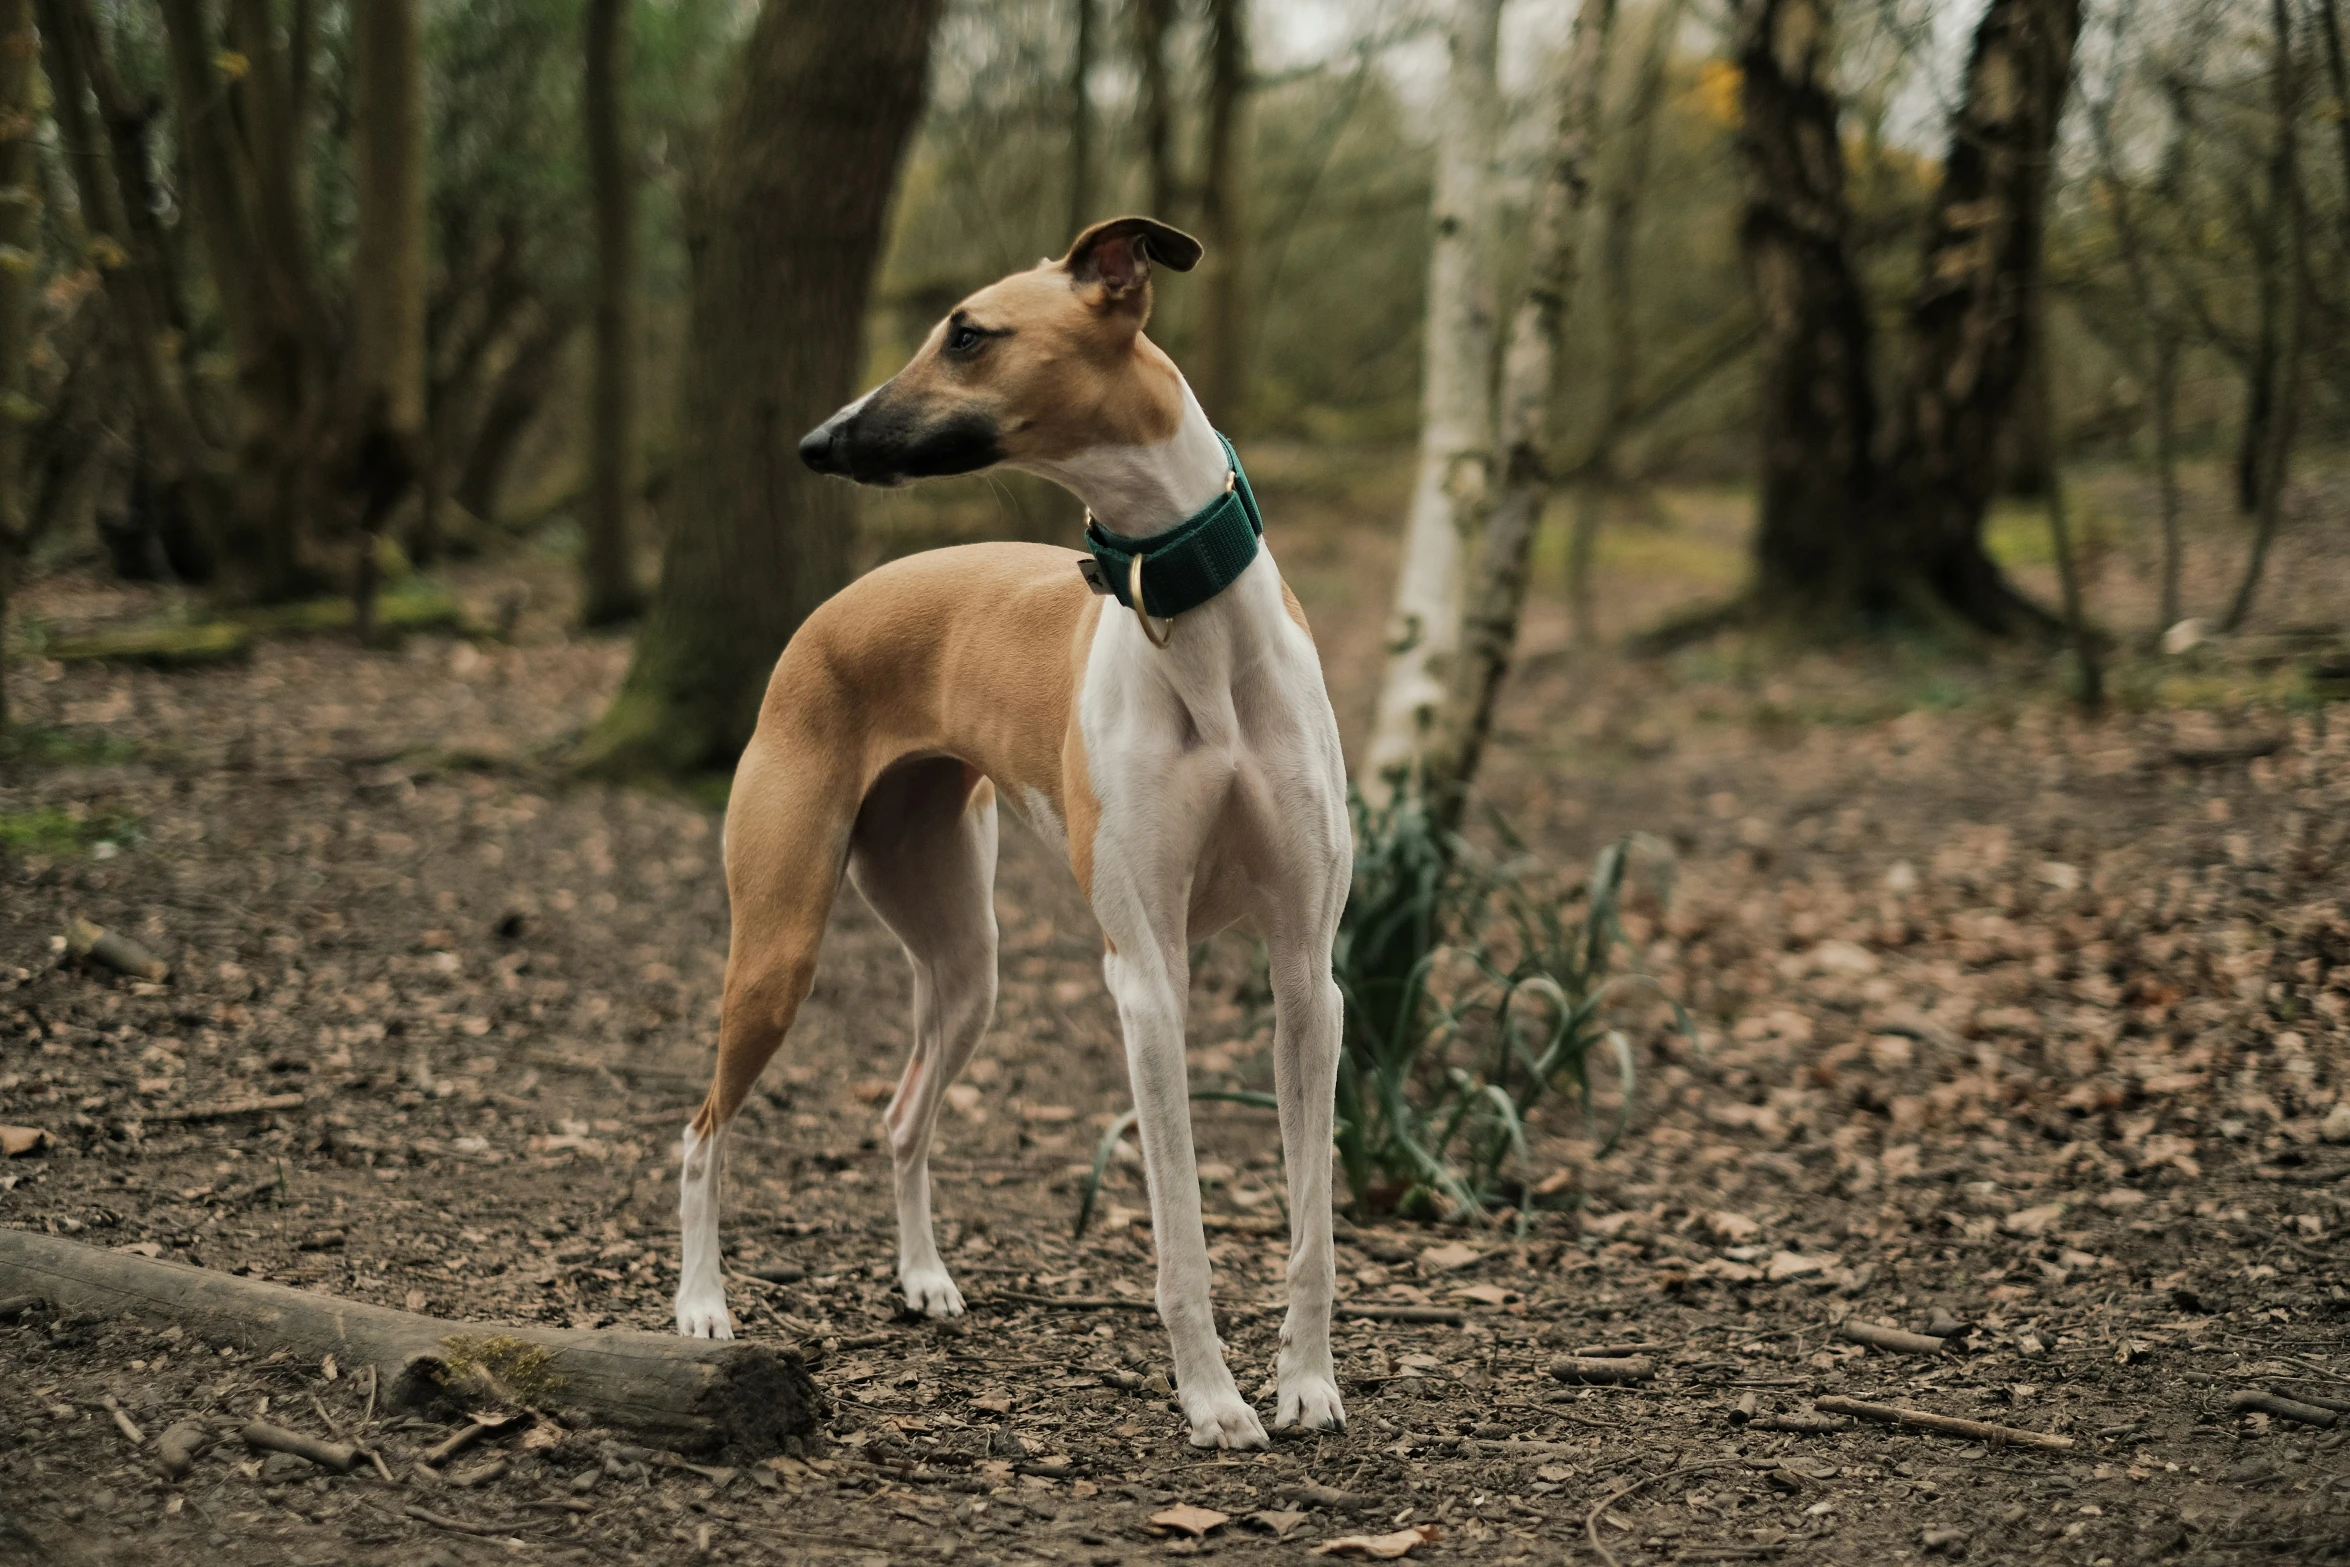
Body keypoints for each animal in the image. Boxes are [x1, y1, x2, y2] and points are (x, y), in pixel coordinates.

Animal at [672, 214, 1353, 1456]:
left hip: (967, 960)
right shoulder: (1147, 976)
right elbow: (1181, 1235)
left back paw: (923, 1277)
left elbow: (1311, 1225)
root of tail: (833, 608)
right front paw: (1213, 1401)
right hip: (778, 947)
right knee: (700, 1131)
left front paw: (1308, 1385)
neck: (1193, 623)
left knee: (901, 1116)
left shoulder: (1305, 973)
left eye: (969, 334)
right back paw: (701, 1304)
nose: (816, 441)